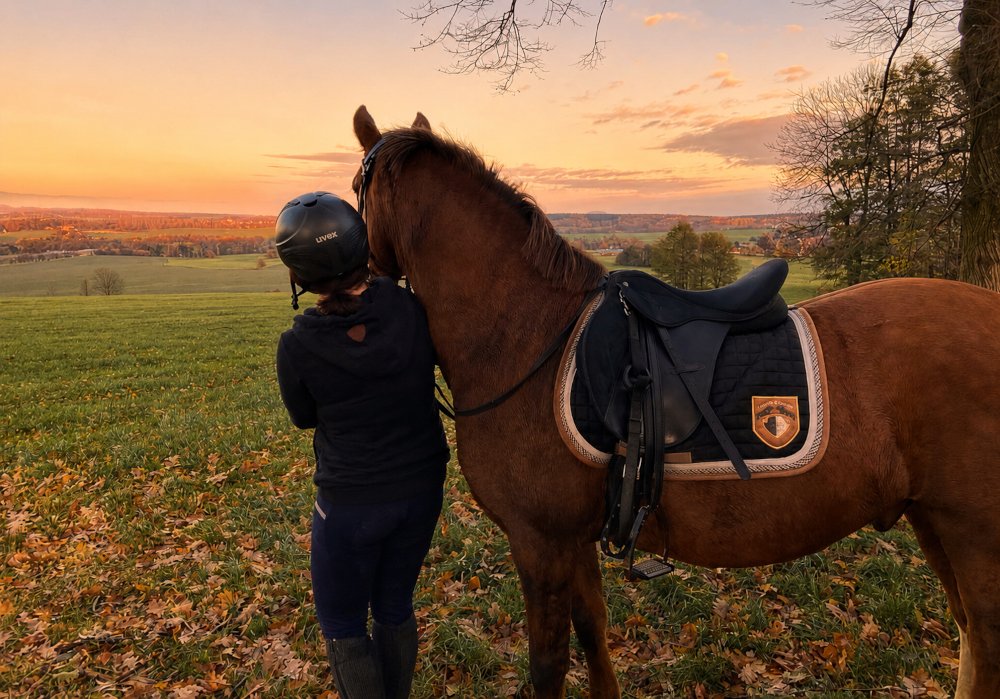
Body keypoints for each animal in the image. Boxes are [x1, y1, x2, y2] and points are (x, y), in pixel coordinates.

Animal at [350, 105, 1000, 698]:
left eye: (357, 187)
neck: (527, 333)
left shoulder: (540, 542)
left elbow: (549, 666)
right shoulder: (575, 540)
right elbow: (594, 634)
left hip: (974, 535)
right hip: (933, 520)